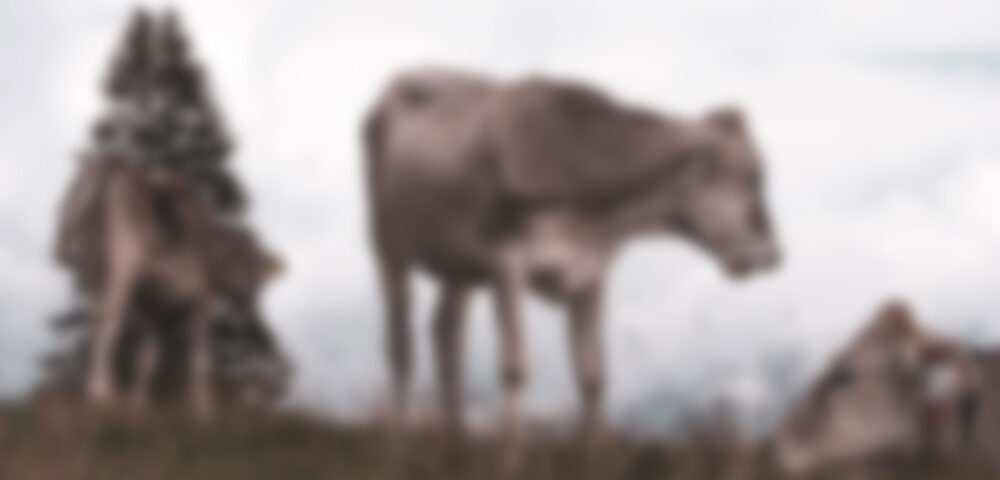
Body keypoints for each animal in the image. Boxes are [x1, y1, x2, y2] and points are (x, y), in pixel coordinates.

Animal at [55, 154, 282, 416]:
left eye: (258, 270)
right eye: (249, 267)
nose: (251, 298)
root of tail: (111, 163)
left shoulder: (154, 304)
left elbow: (147, 357)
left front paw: (137, 404)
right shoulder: (202, 298)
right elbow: (199, 359)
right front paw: (203, 410)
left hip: (91, 264)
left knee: (95, 317)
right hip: (124, 262)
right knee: (109, 317)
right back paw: (101, 390)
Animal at [364, 67, 780, 449]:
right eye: (752, 176)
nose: (773, 255)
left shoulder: (591, 273)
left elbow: (593, 377)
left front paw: (594, 455)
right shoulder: (507, 262)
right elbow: (515, 366)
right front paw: (508, 458)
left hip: (458, 267)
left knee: (447, 333)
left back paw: (456, 439)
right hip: (387, 244)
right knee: (399, 342)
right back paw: (396, 443)